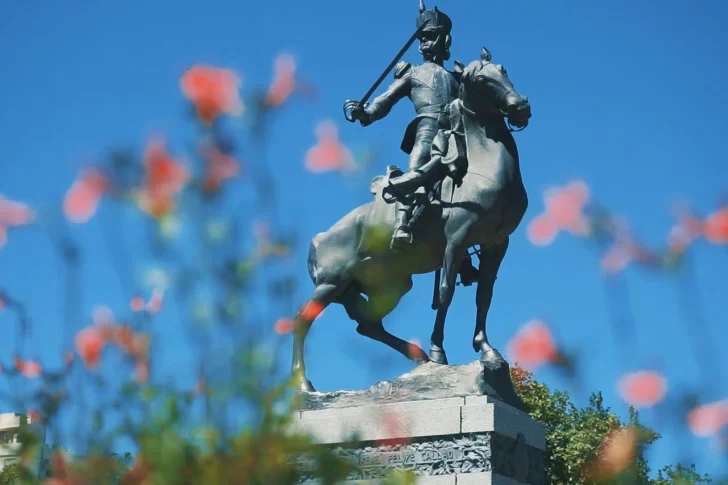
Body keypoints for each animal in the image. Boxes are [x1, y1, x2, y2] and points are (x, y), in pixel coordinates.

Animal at [292, 47, 536, 392]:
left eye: (503, 70)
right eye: (481, 79)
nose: (520, 107)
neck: (485, 168)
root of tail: (318, 238)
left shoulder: (497, 243)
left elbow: (484, 296)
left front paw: (486, 350)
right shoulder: (457, 238)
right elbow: (446, 292)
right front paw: (438, 351)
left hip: (390, 286)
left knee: (368, 325)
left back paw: (416, 356)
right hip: (331, 283)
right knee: (301, 322)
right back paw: (304, 385)